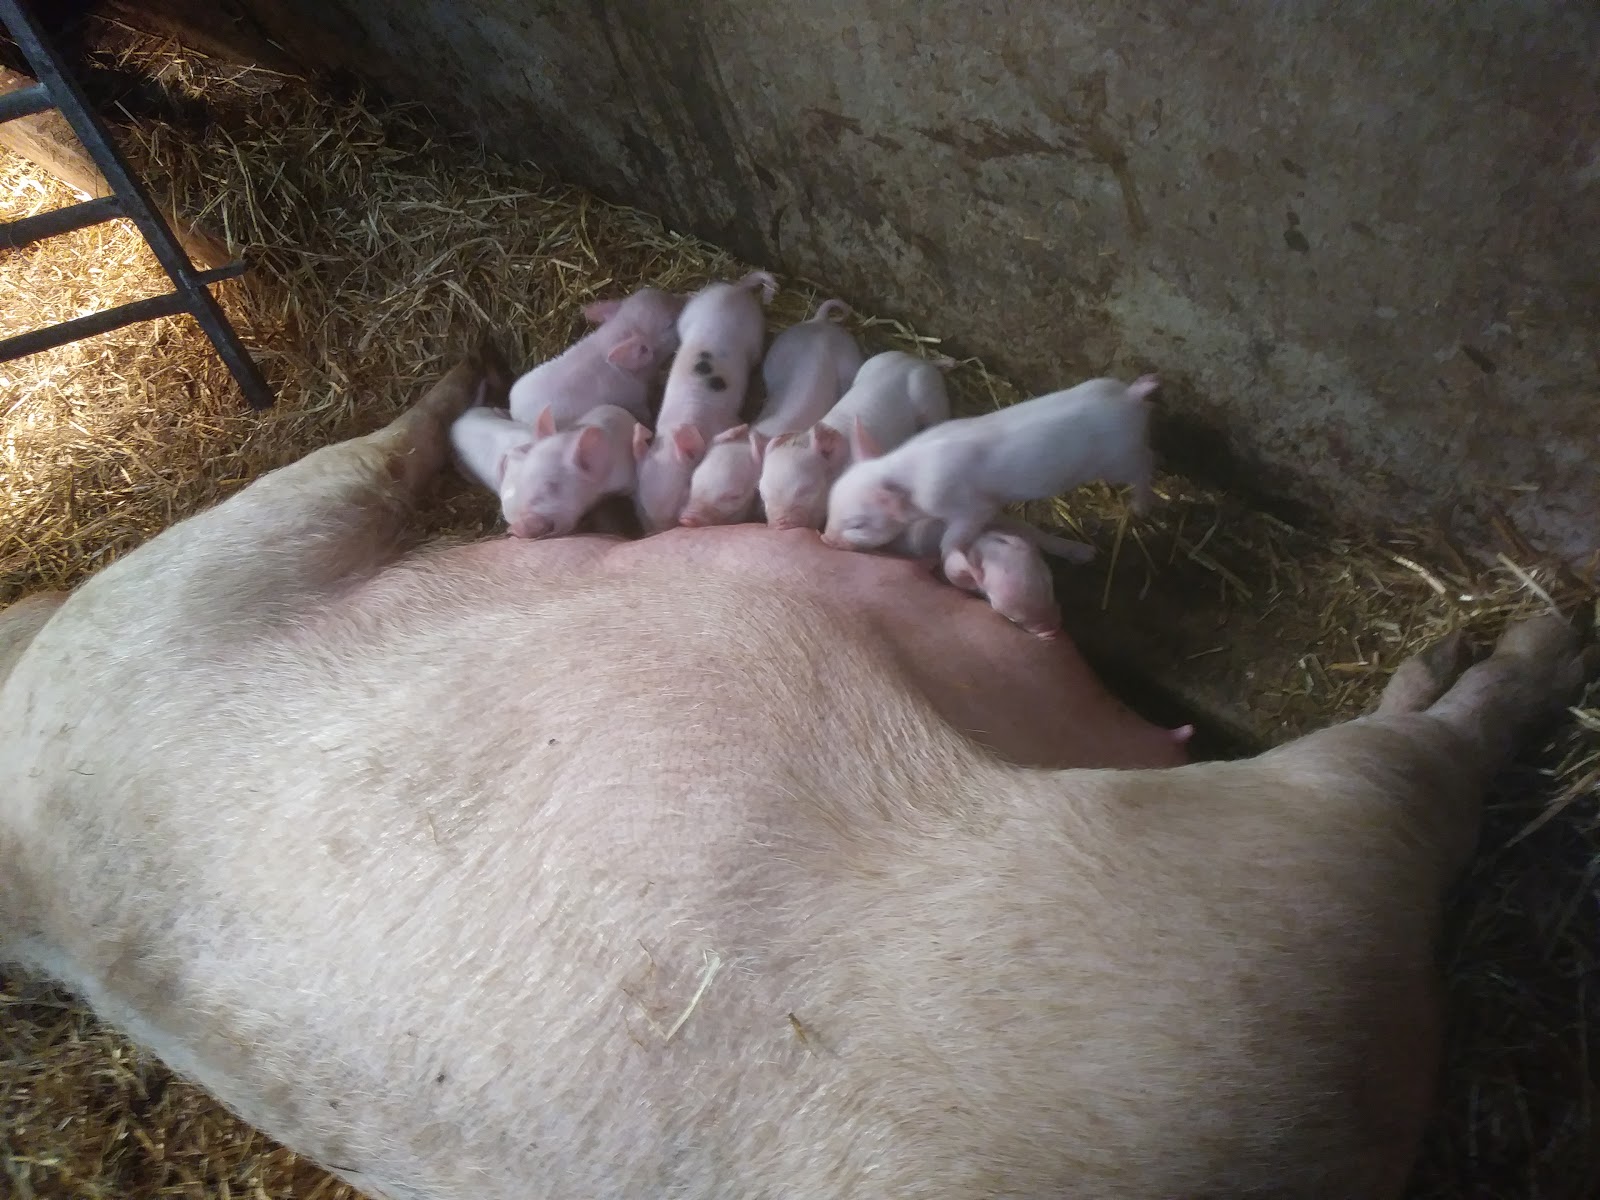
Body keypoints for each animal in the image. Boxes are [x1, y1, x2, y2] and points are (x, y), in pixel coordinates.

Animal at [0, 350, 1587, 1200]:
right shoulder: (191, 579)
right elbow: (360, 458)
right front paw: (455, 375)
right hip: (1295, 871)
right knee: (1430, 760)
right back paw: (1524, 638)